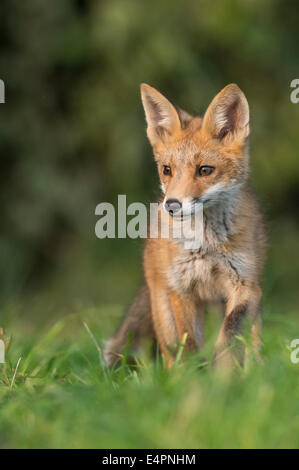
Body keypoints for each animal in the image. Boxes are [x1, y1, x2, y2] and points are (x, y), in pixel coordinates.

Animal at [105, 83, 268, 370]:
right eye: (166, 170)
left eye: (205, 170)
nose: (171, 205)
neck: (207, 245)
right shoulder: (183, 289)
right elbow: (189, 341)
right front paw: (193, 376)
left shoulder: (246, 286)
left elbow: (229, 334)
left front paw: (223, 374)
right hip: (163, 304)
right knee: (171, 349)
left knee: (252, 344)